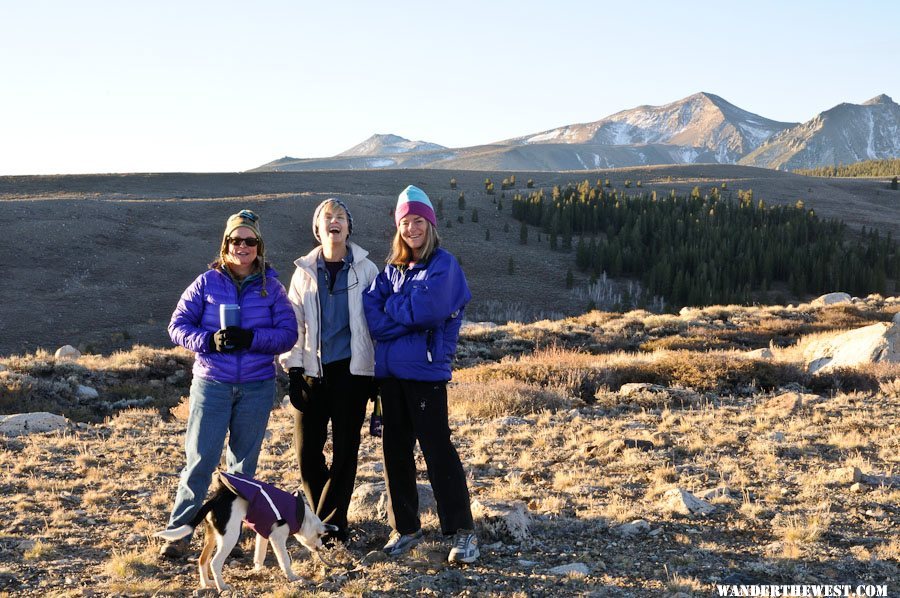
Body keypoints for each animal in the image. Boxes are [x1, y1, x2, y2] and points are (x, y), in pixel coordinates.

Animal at [155, 474, 338, 596]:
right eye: (320, 536)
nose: (320, 547)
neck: (301, 515)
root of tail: (215, 499)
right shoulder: (277, 537)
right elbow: (285, 560)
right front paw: (293, 577)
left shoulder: (264, 535)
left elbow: (259, 556)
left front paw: (257, 571)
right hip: (230, 535)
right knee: (215, 562)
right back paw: (222, 587)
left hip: (212, 535)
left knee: (202, 559)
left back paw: (207, 583)